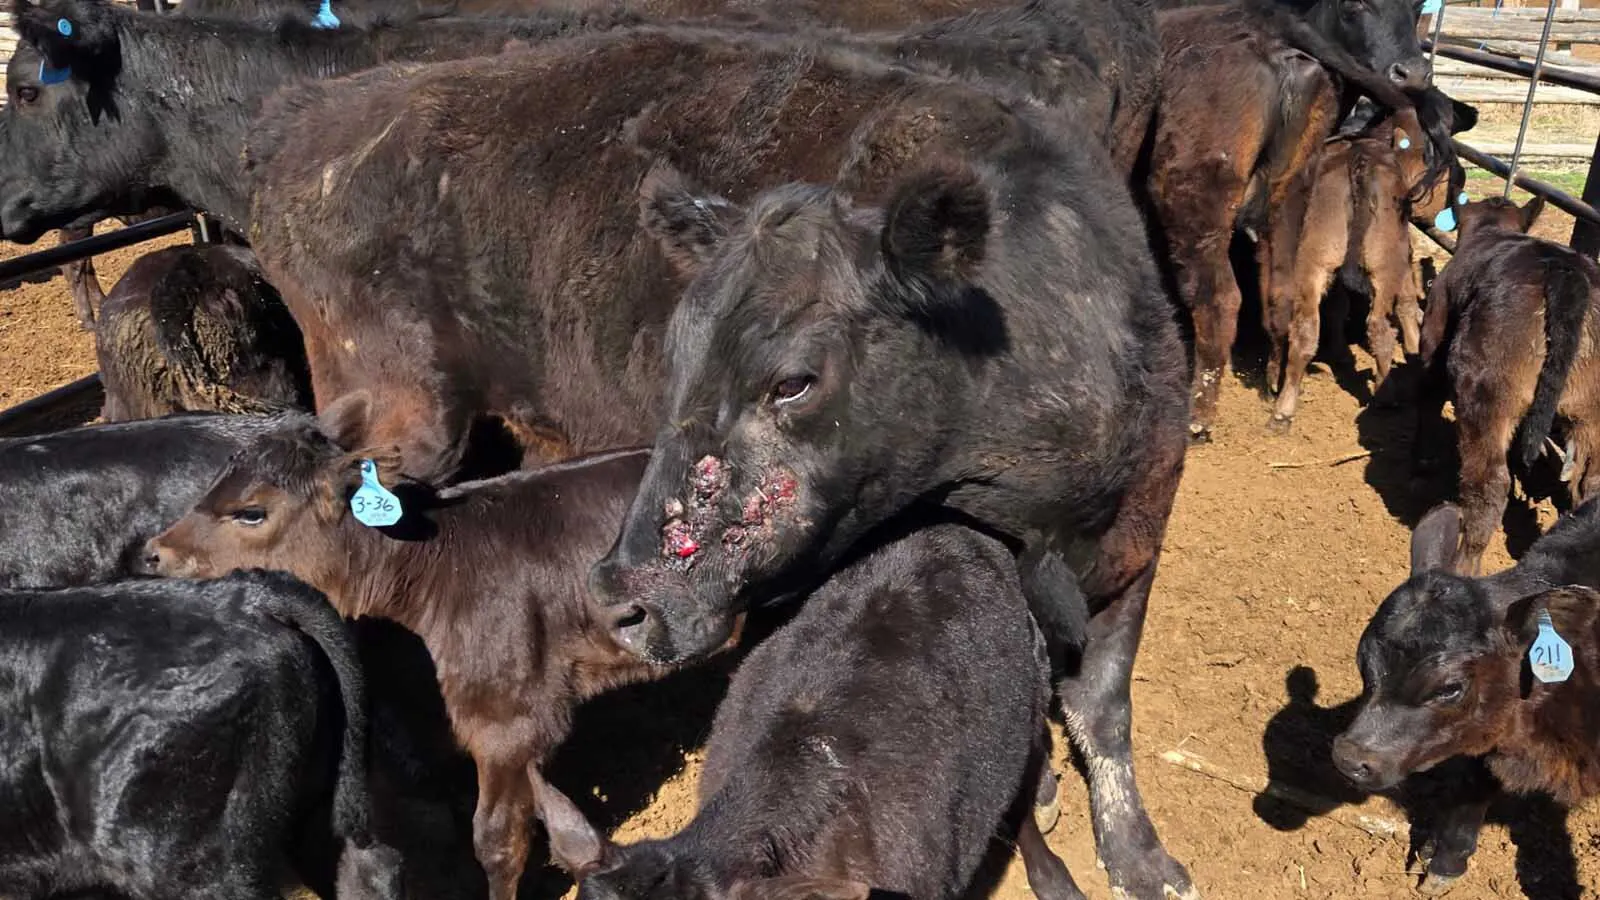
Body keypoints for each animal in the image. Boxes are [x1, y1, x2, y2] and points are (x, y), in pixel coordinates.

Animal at [1150, 0, 1447, 441]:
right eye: (1355, 7)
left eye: (1415, 7)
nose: (1411, 74)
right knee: (1291, 296)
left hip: (1191, 198)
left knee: (1220, 298)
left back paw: (1199, 417)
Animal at [1262, 88, 1474, 430]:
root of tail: (1359, 163)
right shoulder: (1402, 254)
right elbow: (1405, 302)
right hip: (1382, 264)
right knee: (1377, 327)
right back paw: (1386, 395)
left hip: (1313, 265)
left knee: (1306, 330)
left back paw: (1283, 409)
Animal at [1413, 195, 1600, 575]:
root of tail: (1565, 271)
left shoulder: (1435, 327)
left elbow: (1426, 393)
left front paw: (1422, 461)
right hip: (1591, 411)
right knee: (1589, 481)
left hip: (1484, 393)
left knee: (1490, 485)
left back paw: (1463, 567)